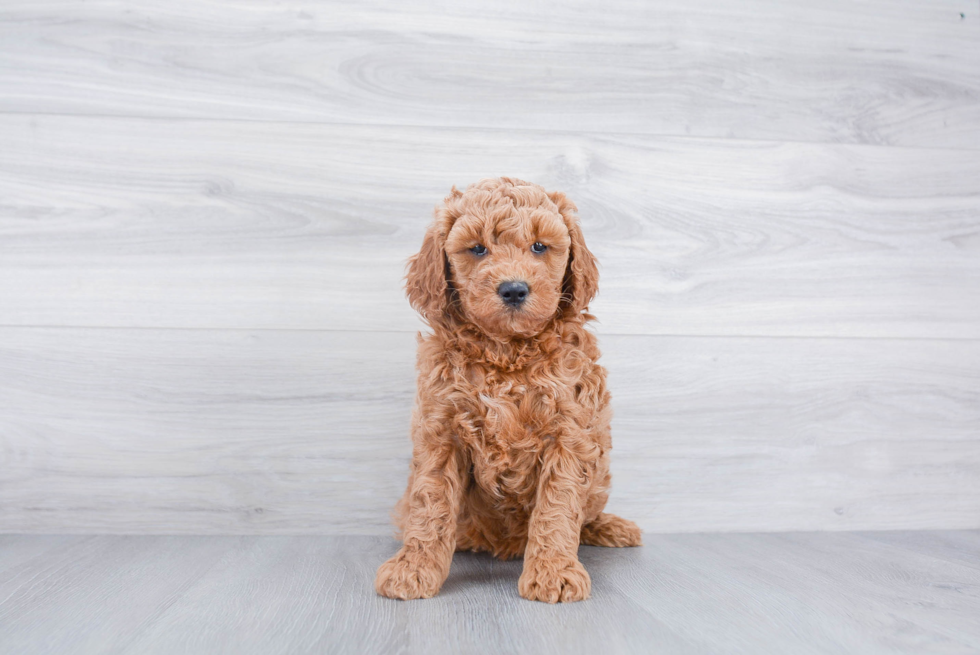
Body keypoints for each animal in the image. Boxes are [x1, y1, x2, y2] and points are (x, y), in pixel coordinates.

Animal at [376, 176, 644, 604]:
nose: (514, 290)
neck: (507, 352)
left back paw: (610, 527)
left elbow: (557, 506)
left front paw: (553, 573)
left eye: (539, 246)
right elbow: (430, 503)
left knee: (587, 513)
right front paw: (413, 568)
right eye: (478, 248)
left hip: (600, 478)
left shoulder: (569, 432)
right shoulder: (441, 429)